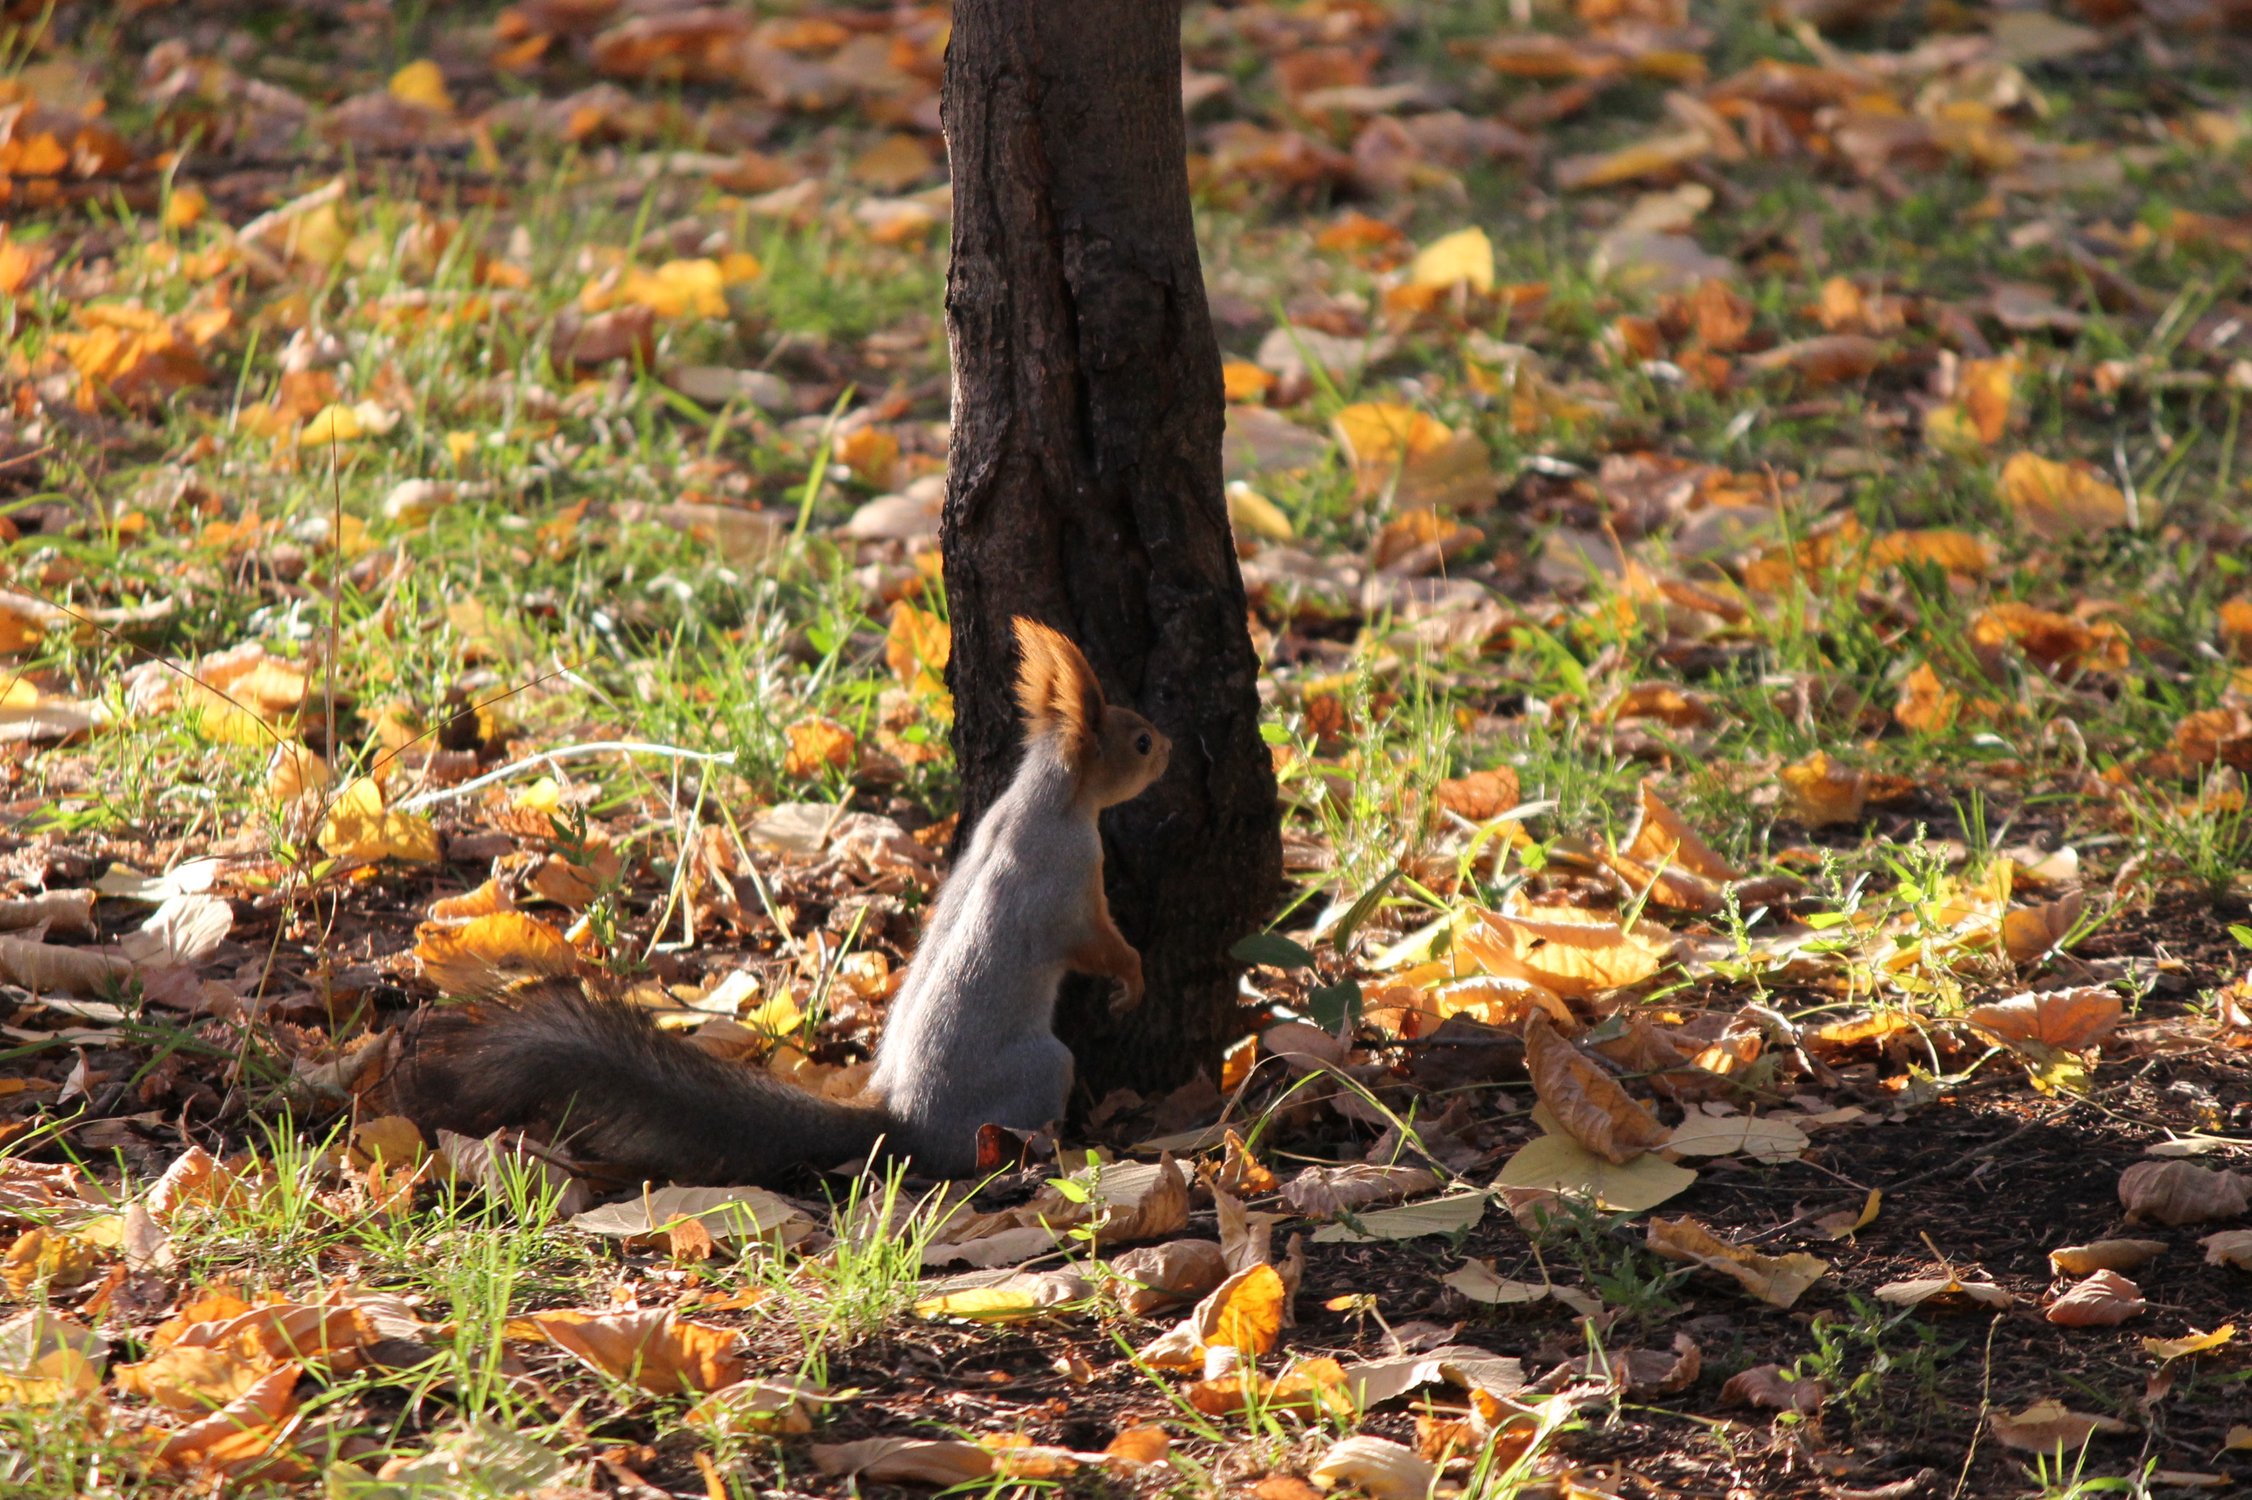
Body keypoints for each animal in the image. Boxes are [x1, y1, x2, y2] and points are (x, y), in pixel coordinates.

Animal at [394, 617, 1171, 1180]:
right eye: (1138, 741)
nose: (1169, 748)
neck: (1049, 799)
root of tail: (901, 1119)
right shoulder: (1069, 885)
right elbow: (1099, 944)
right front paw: (1134, 982)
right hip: (1044, 1069)